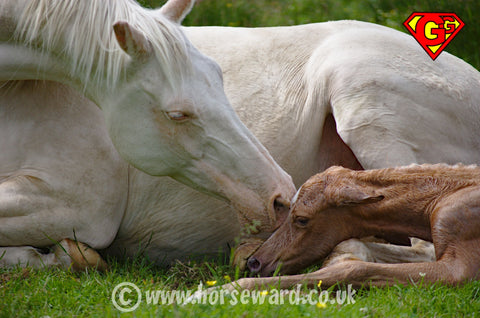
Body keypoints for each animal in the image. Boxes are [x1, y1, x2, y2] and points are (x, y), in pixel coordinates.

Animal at [231, 165, 478, 290]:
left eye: (301, 219)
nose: (254, 262)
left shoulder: (460, 269)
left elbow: (355, 269)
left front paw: (229, 288)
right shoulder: (431, 250)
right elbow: (354, 247)